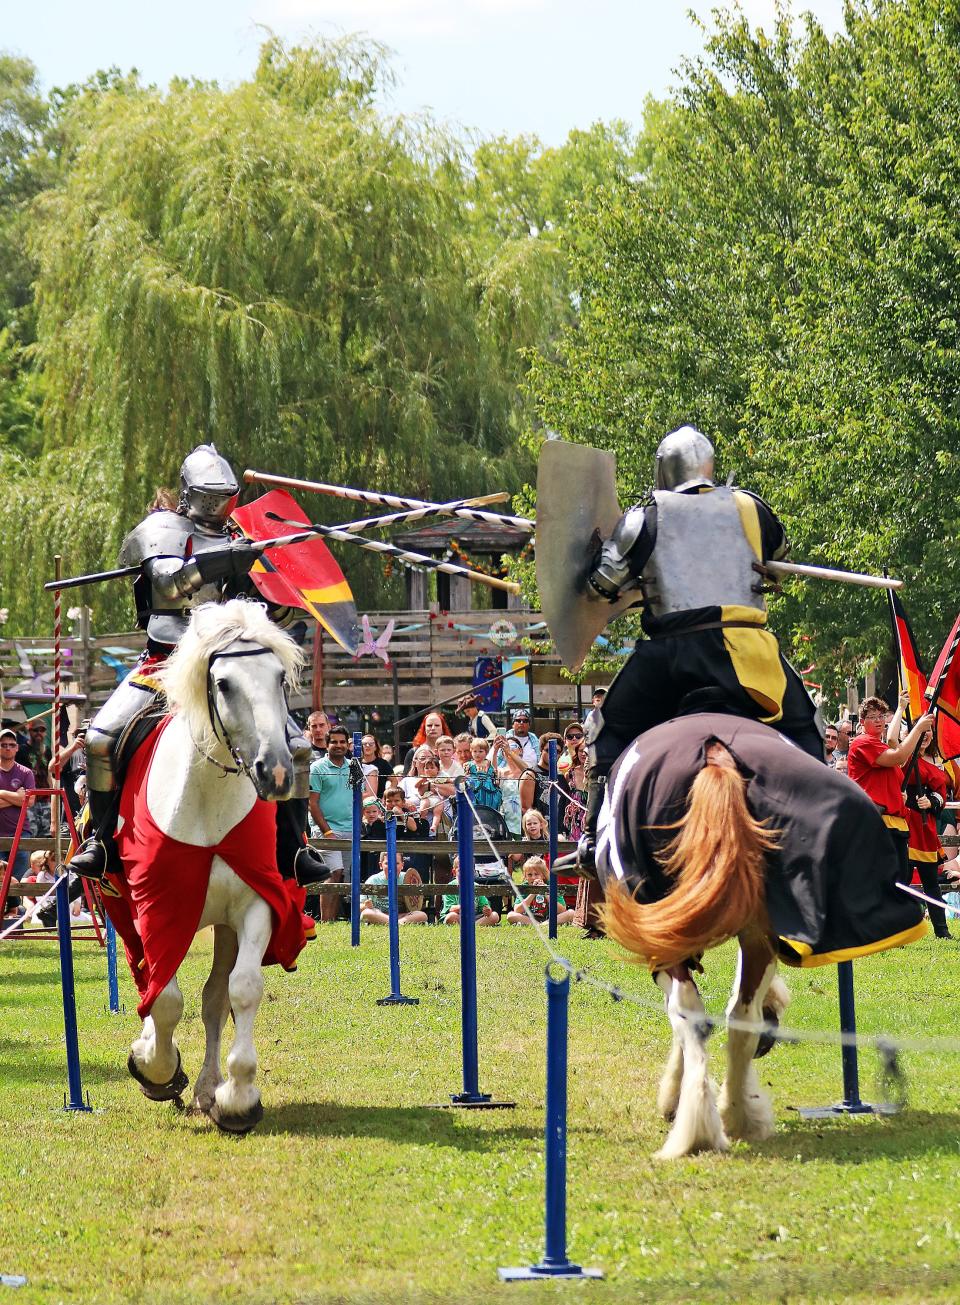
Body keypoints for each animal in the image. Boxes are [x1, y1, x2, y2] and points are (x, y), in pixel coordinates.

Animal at [118, 600, 303, 1132]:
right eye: (223, 683)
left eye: (280, 677)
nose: (276, 770)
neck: (206, 801)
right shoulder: (156, 908)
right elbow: (163, 998)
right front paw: (155, 1067)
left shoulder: (257, 907)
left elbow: (241, 990)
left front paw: (237, 1096)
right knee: (148, 979)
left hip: (223, 925)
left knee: (215, 998)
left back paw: (207, 1089)